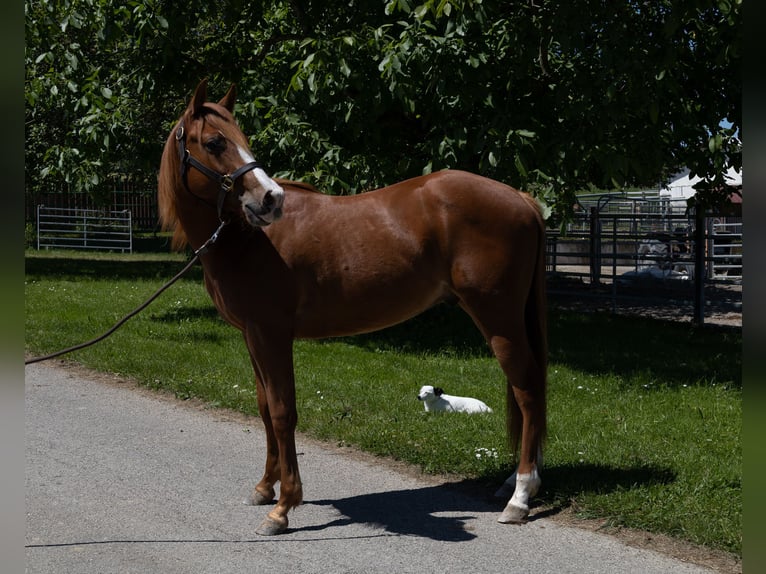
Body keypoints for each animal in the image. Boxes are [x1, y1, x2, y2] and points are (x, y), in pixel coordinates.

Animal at [158, 79, 547, 535]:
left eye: (240, 139)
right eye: (215, 142)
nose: (271, 199)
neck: (248, 240)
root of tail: (519, 198)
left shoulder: (272, 335)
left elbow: (282, 411)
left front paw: (283, 506)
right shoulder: (252, 337)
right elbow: (264, 408)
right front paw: (265, 488)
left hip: (498, 319)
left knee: (527, 391)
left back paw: (520, 496)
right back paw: (515, 484)